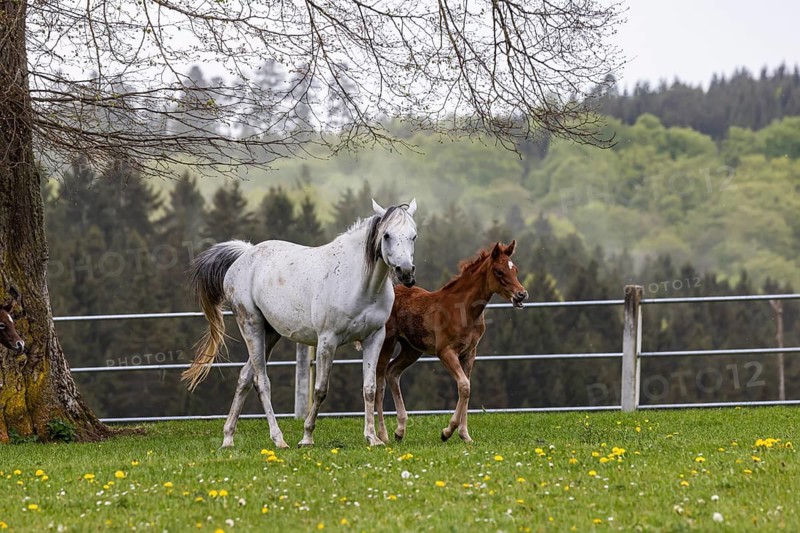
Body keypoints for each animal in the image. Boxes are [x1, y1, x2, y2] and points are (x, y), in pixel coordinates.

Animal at [183, 199, 418, 448]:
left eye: (413, 236)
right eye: (387, 235)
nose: (405, 272)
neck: (357, 282)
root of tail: (245, 255)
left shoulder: (374, 339)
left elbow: (370, 388)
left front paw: (372, 438)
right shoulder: (327, 341)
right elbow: (320, 390)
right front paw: (307, 437)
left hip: (271, 333)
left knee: (245, 377)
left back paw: (228, 438)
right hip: (251, 326)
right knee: (261, 381)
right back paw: (278, 439)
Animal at [375, 240, 527, 444]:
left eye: (515, 270)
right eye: (499, 271)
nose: (521, 295)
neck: (464, 310)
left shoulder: (470, 353)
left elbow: (467, 388)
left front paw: (465, 435)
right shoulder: (445, 351)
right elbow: (464, 385)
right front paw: (447, 431)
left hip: (412, 349)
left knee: (392, 372)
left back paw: (400, 430)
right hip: (387, 343)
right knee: (379, 381)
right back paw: (383, 435)